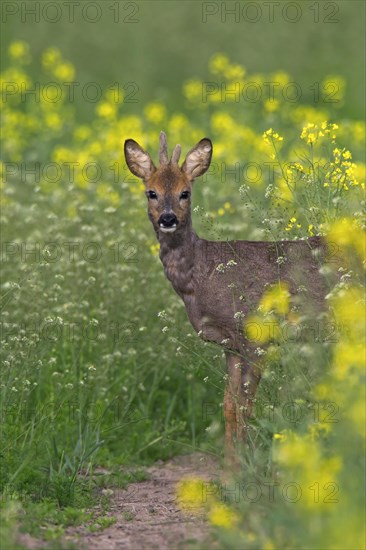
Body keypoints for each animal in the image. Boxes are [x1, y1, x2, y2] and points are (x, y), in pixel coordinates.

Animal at [124, 132, 334, 468]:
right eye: (151, 193)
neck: (201, 275)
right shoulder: (230, 344)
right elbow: (229, 405)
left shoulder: (256, 335)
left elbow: (246, 406)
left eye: (185, 193)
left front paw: (245, 468)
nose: (168, 219)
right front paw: (230, 468)